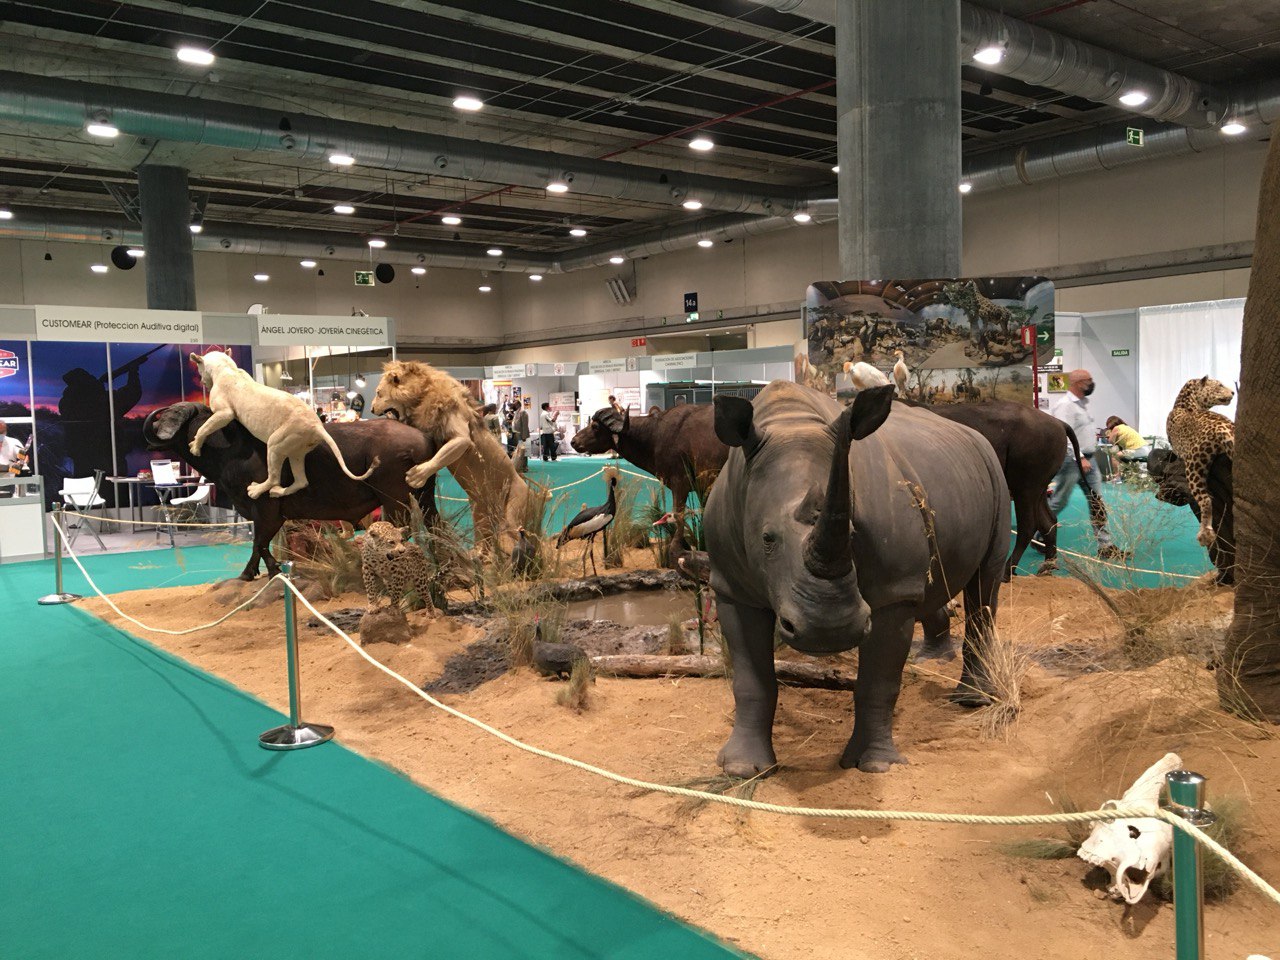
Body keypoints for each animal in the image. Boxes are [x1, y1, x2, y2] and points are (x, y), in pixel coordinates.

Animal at [189, 350, 376, 499]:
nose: (202, 381)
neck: (227, 367)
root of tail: (317, 425)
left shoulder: (224, 413)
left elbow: (205, 426)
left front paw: (195, 446)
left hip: (275, 443)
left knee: (274, 477)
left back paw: (256, 490)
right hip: (296, 452)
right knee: (301, 481)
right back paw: (279, 492)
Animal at [371, 360, 532, 551]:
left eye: (378, 393)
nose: (371, 409)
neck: (421, 395)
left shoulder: (460, 434)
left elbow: (442, 455)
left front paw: (417, 476)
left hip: (514, 512)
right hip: (480, 513)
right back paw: (477, 553)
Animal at [1166, 376, 1235, 548]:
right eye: (1220, 385)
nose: (1232, 392)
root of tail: (1224, 428)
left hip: (1193, 466)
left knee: (1206, 500)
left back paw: (1205, 534)